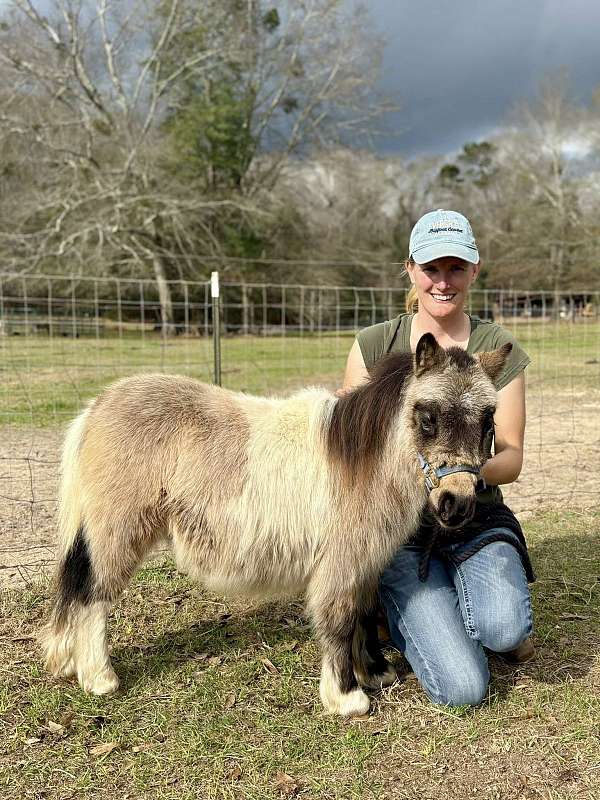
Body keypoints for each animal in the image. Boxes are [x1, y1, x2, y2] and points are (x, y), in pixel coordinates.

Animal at [41, 333, 511, 716]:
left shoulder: (364, 563)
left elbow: (361, 613)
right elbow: (339, 620)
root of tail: (97, 406)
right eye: (428, 418)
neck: (363, 462)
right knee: (92, 594)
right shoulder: (340, 564)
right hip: (118, 532)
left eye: (488, 421)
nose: (456, 504)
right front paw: (347, 698)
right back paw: (100, 679)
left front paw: (376, 673)